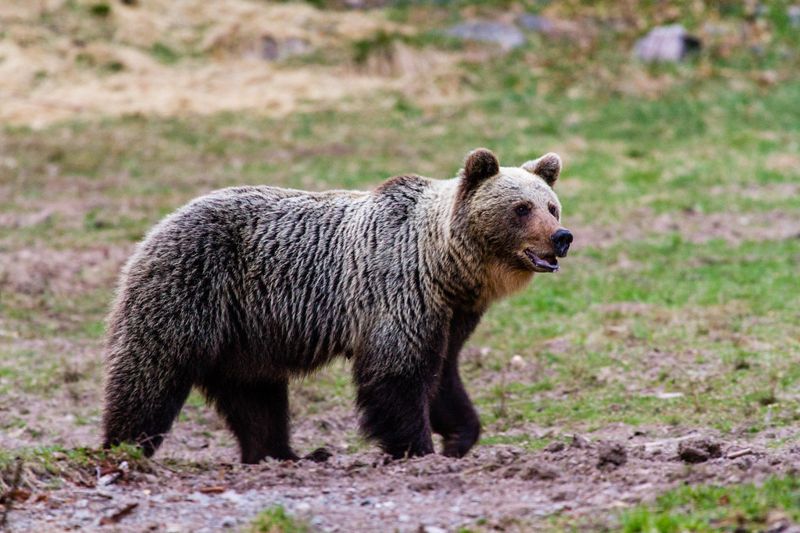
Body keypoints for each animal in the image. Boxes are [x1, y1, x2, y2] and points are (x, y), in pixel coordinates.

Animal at [102, 148, 573, 463]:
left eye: (551, 206)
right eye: (521, 208)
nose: (561, 237)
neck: (443, 265)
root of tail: (158, 226)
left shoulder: (451, 315)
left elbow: (443, 374)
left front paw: (459, 436)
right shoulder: (398, 293)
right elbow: (396, 374)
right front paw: (417, 449)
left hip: (246, 336)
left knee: (255, 398)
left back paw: (284, 455)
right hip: (190, 289)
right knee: (150, 375)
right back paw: (124, 448)